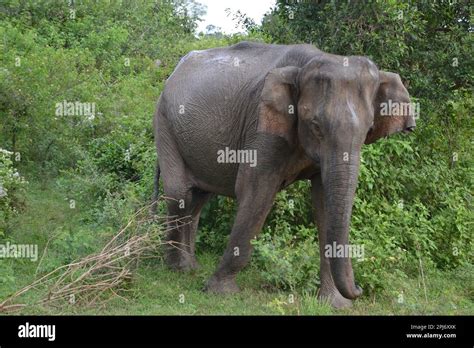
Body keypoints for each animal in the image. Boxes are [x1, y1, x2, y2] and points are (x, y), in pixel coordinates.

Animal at [152, 40, 414, 308]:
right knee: (179, 194)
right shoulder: (261, 124)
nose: (359, 289)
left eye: (369, 129)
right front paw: (220, 292)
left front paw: (335, 304)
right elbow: (256, 191)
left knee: (197, 199)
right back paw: (178, 269)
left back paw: (191, 267)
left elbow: (323, 202)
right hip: (164, 123)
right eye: (316, 126)